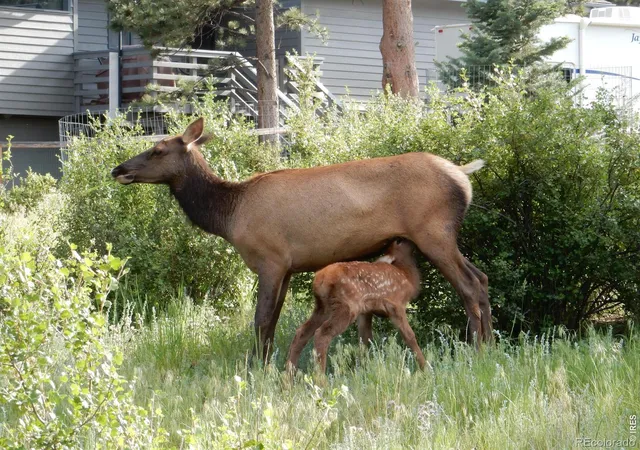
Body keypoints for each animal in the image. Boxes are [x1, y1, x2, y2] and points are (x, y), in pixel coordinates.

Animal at [287, 239, 426, 373]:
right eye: (399, 242)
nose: (407, 239)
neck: (406, 276)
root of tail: (320, 279)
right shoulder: (396, 305)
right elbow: (409, 336)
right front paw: (425, 367)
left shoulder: (365, 311)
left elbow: (365, 340)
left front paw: (364, 370)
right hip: (346, 306)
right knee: (321, 334)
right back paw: (320, 377)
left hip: (323, 307)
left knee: (301, 331)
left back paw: (289, 375)